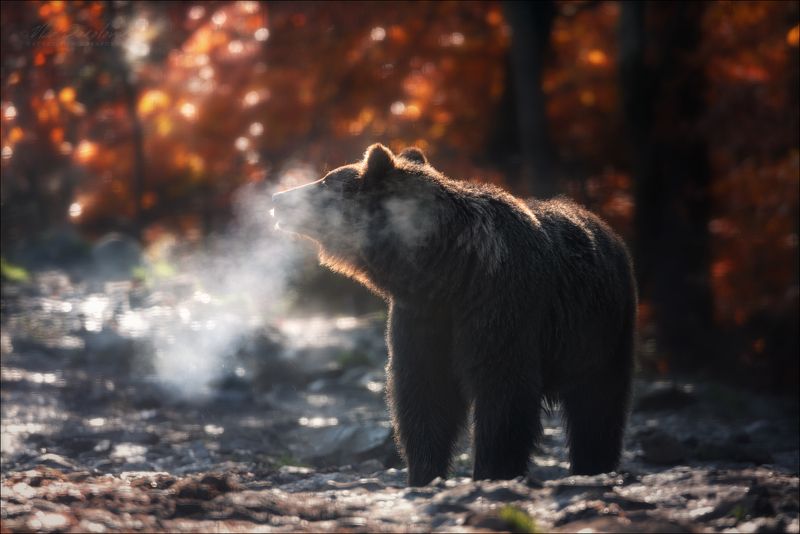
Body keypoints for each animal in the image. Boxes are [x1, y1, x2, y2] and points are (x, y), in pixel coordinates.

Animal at [272, 144, 637, 486]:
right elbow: (424, 394)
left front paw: (491, 470)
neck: (449, 269)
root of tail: (609, 231)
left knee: (598, 404)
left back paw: (594, 465)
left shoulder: (499, 305)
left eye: (325, 181)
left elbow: (503, 393)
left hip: (602, 330)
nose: (278, 198)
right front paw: (423, 473)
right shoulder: (424, 318)